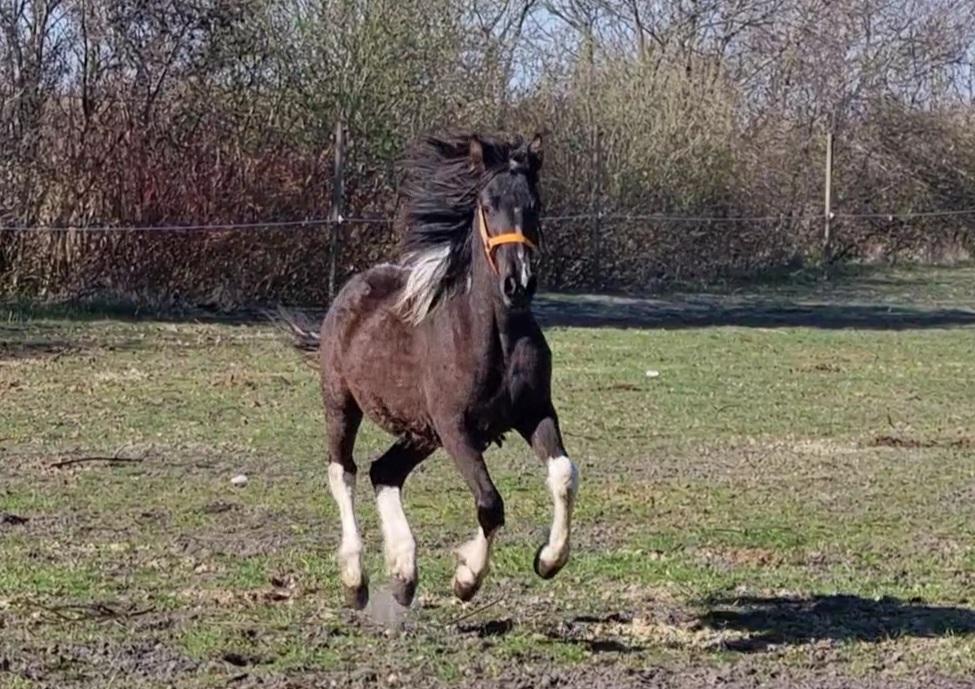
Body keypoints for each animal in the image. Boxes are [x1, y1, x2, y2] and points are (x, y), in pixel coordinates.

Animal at [284, 129, 580, 608]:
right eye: (487, 203)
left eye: (534, 203)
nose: (517, 283)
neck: (496, 336)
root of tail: (350, 290)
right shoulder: (455, 426)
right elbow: (490, 504)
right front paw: (466, 578)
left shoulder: (534, 412)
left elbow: (564, 475)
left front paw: (548, 560)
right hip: (343, 404)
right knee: (343, 471)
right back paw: (355, 579)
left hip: (420, 431)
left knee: (384, 472)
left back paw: (403, 572)